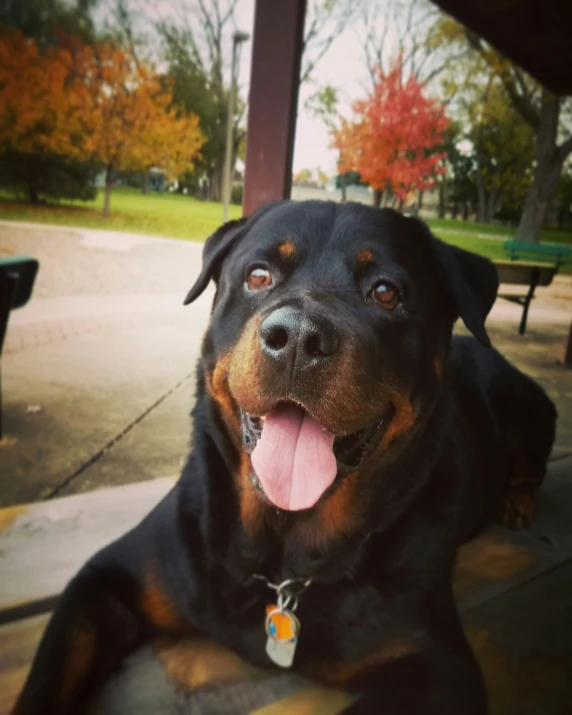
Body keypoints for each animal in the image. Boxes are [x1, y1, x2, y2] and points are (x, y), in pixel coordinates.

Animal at [15, 201, 556, 715]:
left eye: (386, 292)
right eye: (258, 277)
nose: (298, 336)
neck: (282, 560)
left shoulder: (438, 670)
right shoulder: (109, 580)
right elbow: (45, 683)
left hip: (532, 409)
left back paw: (517, 503)